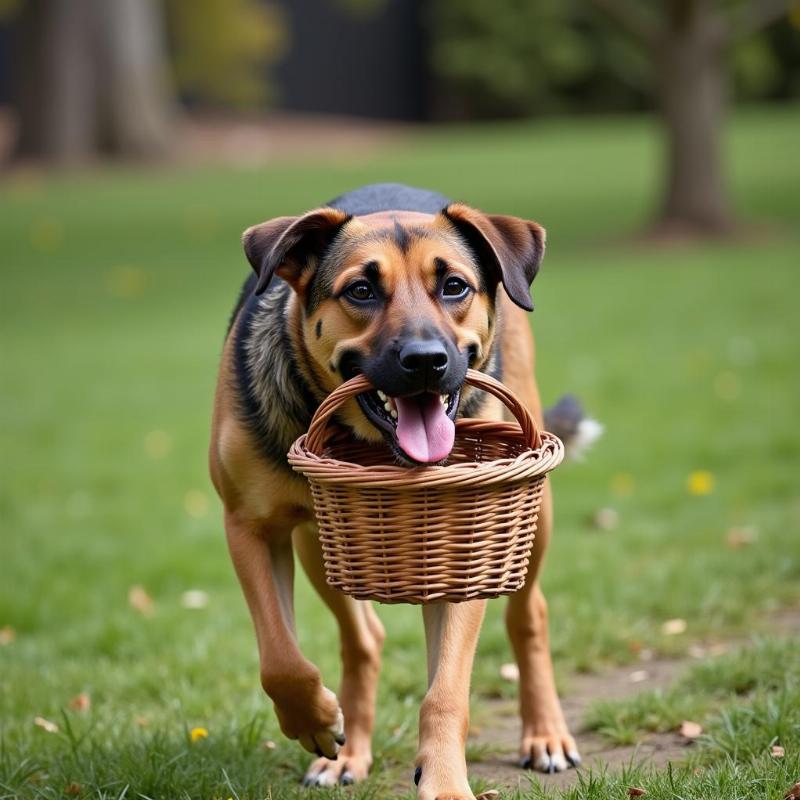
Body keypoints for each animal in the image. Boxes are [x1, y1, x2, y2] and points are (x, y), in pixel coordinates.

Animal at [209, 184, 596, 796]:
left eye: (454, 286)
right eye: (361, 291)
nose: (426, 361)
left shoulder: (469, 540)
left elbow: (445, 694)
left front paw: (444, 782)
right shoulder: (249, 526)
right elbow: (280, 659)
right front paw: (315, 721)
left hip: (533, 512)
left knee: (528, 615)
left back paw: (546, 734)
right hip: (318, 544)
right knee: (363, 638)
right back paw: (348, 752)